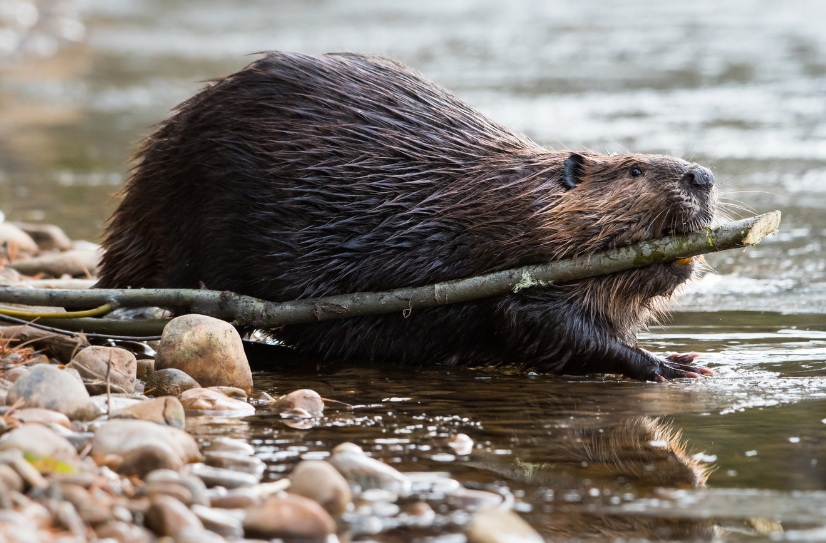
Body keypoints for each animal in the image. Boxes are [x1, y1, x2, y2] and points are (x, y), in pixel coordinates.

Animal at [95, 52, 716, 382]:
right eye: (635, 169)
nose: (703, 177)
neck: (513, 199)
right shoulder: (510, 264)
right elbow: (536, 324)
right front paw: (671, 365)